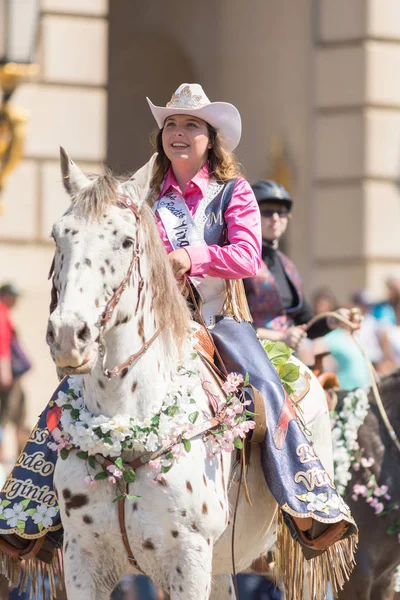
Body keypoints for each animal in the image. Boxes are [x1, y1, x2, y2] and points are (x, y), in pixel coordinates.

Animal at [45, 146, 334, 600]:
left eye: (126, 240)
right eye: (59, 235)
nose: (67, 335)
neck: (125, 434)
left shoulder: (189, 559)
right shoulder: (83, 559)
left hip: (299, 567)